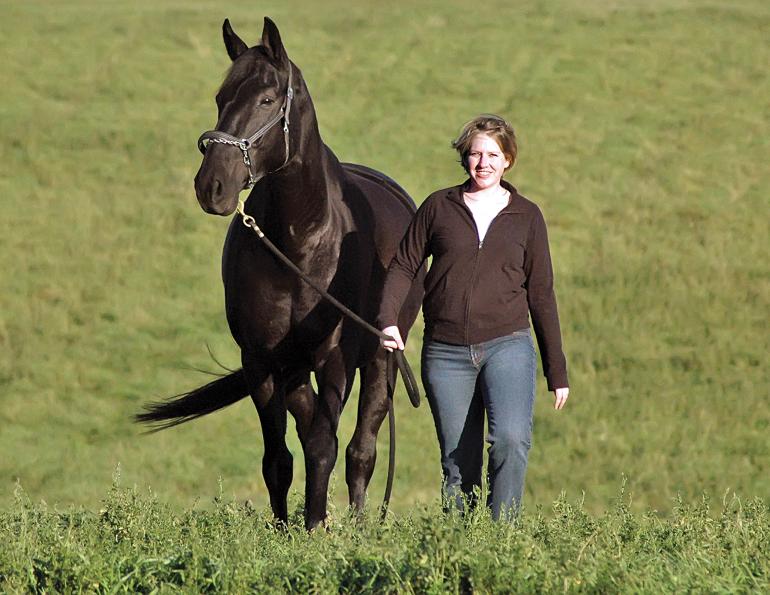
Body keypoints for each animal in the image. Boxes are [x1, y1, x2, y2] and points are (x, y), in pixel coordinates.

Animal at [136, 17, 424, 530]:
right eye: (220, 97)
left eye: (268, 100)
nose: (212, 186)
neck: (301, 242)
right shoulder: (262, 362)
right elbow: (279, 459)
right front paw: (287, 527)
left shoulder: (334, 358)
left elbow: (326, 446)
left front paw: (313, 527)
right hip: (294, 369)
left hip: (381, 358)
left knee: (361, 448)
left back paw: (356, 523)